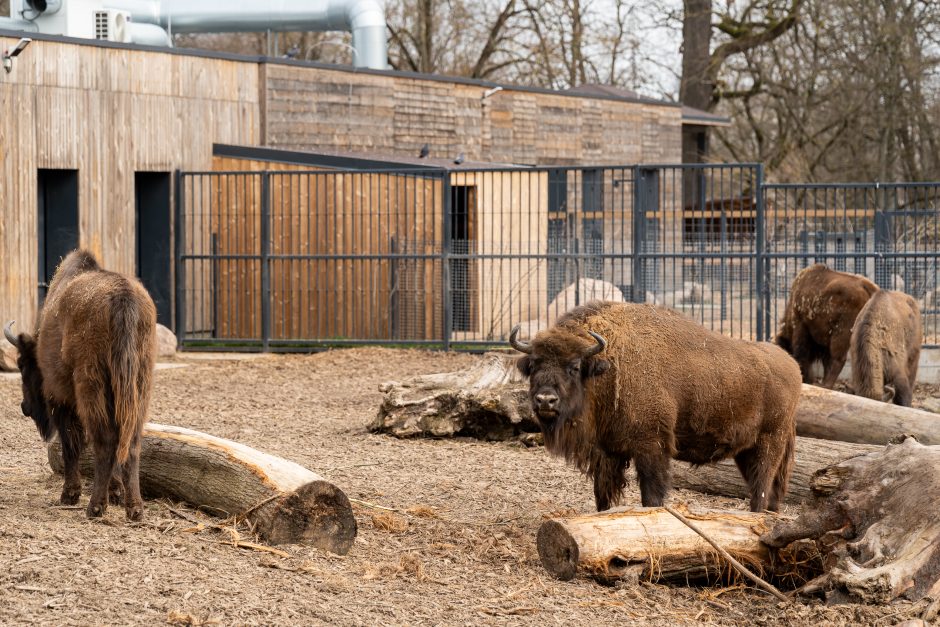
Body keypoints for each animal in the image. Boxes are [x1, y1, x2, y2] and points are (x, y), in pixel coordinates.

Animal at [5, 249, 156, 520]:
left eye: (22, 364)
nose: (25, 407)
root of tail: (123, 297)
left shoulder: (60, 399)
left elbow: (70, 444)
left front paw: (70, 494)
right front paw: (115, 493)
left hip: (91, 385)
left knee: (104, 440)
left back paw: (95, 507)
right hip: (139, 385)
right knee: (131, 441)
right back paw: (134, 509)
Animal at [506, 302, 800, 512]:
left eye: (575, 366)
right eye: (534, 365)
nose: (545, 400)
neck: (608, 365)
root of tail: (792, 366)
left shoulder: (651, 445)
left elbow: (652, 494)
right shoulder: (606, 452)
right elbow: (603, 497)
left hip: (769, 442)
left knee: (761, 486)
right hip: (746, 450)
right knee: (771, 488)